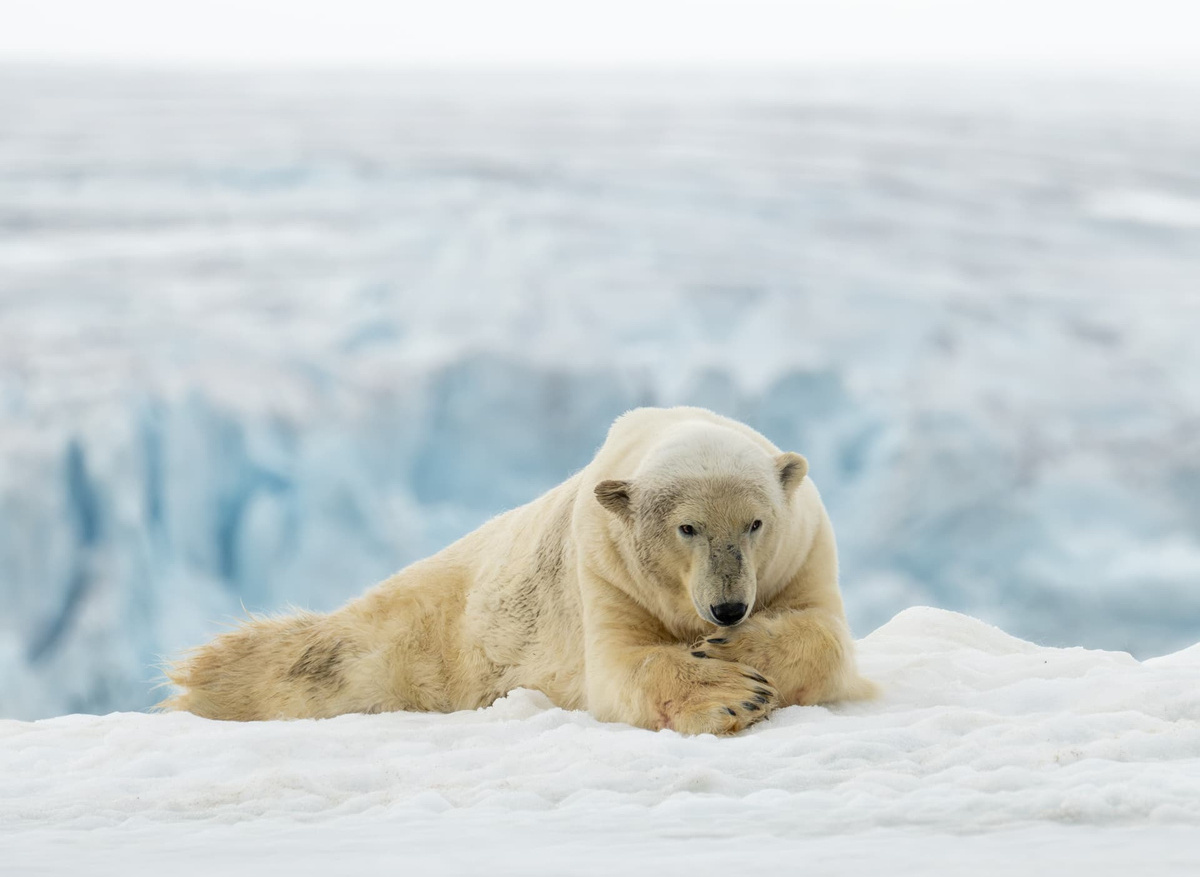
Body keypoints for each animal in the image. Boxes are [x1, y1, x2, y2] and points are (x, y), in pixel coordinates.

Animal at [162, 410, 873, 734]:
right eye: (687, 528)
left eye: (755, 523)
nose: (727, 609)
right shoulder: (604, 571)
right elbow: (620, 669)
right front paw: (731, 692)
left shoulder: (803, 550)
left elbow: (827, 635)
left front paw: (738, 652)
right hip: (424, 635)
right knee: (332, 658)